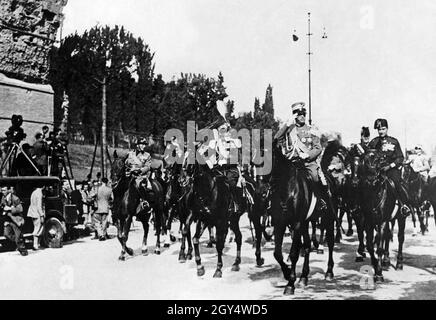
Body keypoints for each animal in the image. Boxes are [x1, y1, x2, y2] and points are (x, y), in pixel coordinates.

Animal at [270, 144, 338, 296]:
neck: (287, 189)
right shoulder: (280, 223)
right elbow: (277, 253)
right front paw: (287, 273)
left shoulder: (296, 224)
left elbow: (294, 253)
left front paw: (290, 283)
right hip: (306, 223)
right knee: (307, 245)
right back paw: (304, 277)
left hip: (328, 218)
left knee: (330, 242)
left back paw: (329, 272)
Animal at [360, 149, 408, 282]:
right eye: (365, 159)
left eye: (379, 160)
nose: (371, 178)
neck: (375, 193)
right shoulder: (369, 222)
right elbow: (370, 246)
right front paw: (375, 265)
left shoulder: (381, 221)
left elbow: (379, 248)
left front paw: (379, 274)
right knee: (387, 236)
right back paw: (386, 261)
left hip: (401, 218)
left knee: (400, 238)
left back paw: (399, 264)